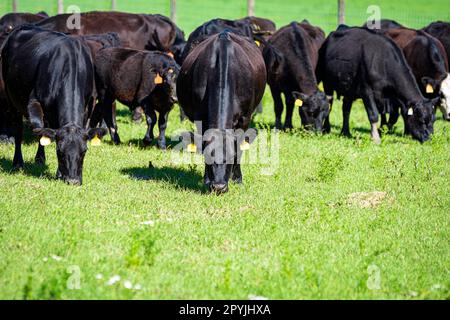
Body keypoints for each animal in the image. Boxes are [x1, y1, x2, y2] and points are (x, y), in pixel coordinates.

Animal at [1, 25, 106, 185]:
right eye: (59, 152)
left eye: (84, 151)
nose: (73, 180)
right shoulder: (34, 101)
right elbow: (40, 129)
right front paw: (59, 173)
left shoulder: (88, 104)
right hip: (11, 98)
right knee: (19, 130)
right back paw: (17, 163)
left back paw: (40, 159)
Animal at [177, 31, 268, 194]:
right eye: (208, 156)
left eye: (231, 158)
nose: (219, 187)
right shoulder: (200, 118)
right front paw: (206, 180)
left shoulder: (245, 118)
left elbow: (240, 147)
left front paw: (238, 178)